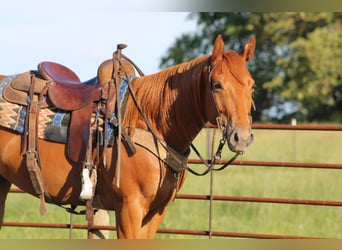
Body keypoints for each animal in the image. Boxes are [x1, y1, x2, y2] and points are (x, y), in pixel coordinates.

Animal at [0, 34, 255, 238]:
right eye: (217, 85)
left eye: (251, 86)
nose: (241, 137)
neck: (149, 122)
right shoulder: (129, 208)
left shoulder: (156, 212)